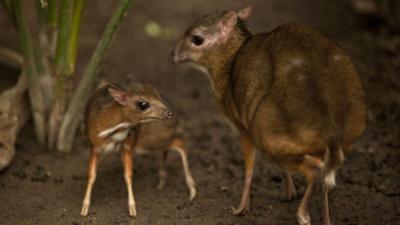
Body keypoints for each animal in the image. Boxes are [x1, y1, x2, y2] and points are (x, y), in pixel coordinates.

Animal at [81, 80, 173, 216]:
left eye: (157, 95)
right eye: (143, 104)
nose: (169, 113)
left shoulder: (128, 145)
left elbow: (128, 175)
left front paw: (132, 208)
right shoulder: (94, 146)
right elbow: (92, 175)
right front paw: (84, 208)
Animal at [172, 5, 366, 225]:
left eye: (197, 39)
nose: (173, 54)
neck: (229, 64)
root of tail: (331, 124)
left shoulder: (243, 128)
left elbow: (249, 169)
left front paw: (241, 208)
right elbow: (283, 167)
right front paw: (290, 192)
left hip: (264, 132)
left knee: (314, 171)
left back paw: (303, 215)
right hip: (344, 139)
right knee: (324, 177)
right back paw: (324, 219)